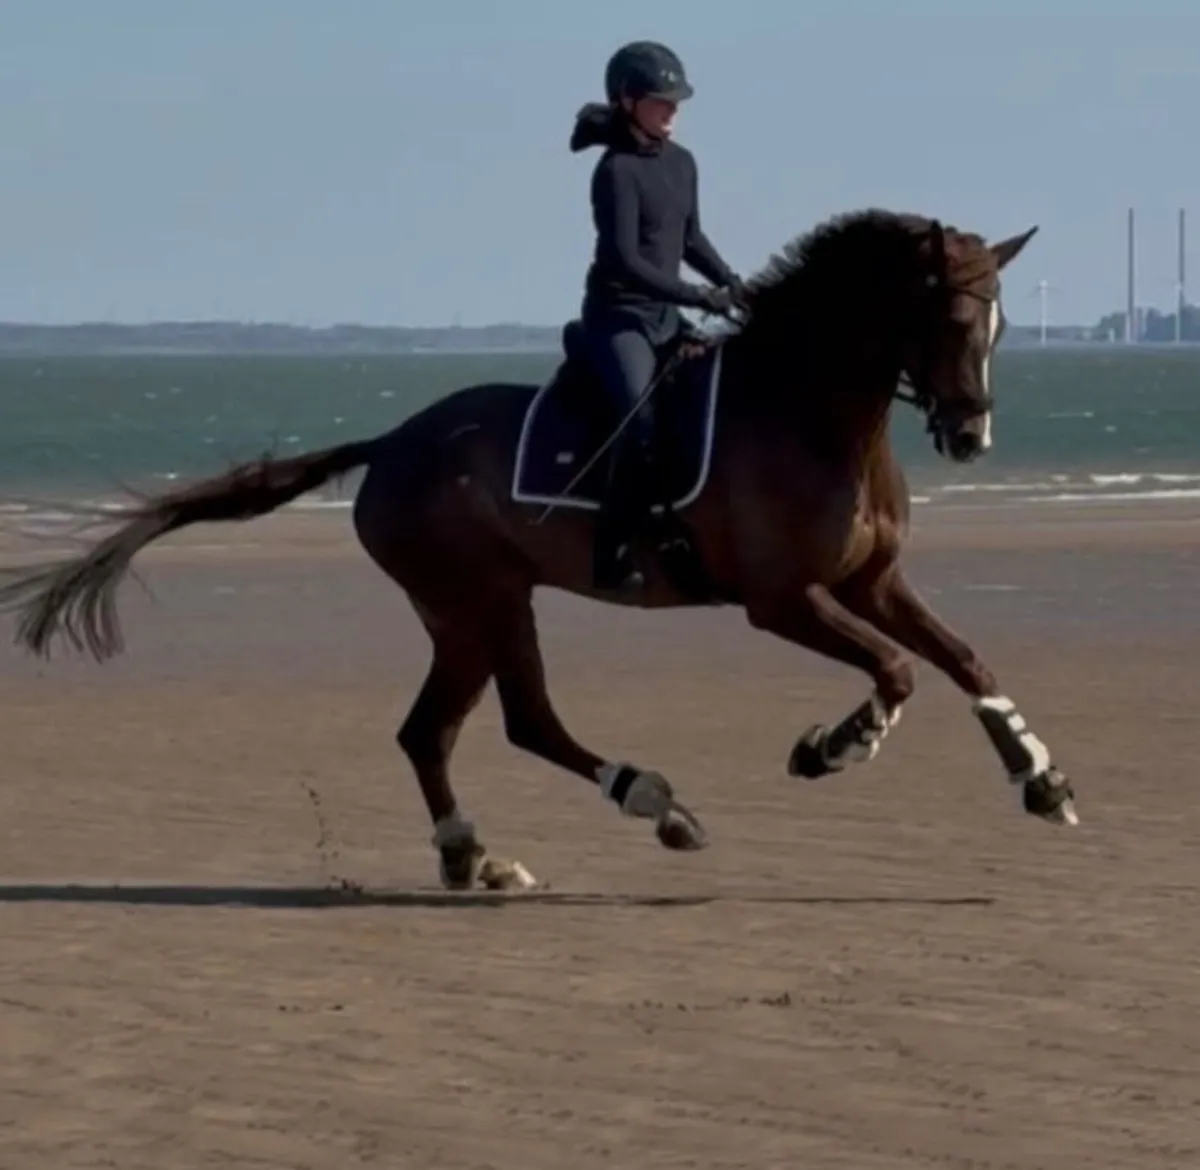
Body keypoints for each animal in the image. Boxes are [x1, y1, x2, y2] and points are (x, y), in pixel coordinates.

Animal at [0, 208, 1076, 893]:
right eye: (950, 316)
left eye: (999, 323)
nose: (970, 435)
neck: (808, 411)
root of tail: (392, 443)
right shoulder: (782, 600)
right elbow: (897, 671)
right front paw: (831, 748)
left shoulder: (871, 580)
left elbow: (964, 660)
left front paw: (1041, 779)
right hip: (479, 602)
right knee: (512, 722)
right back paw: (651, 803)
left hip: (473, 612)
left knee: (440, 731)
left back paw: (476, 854)